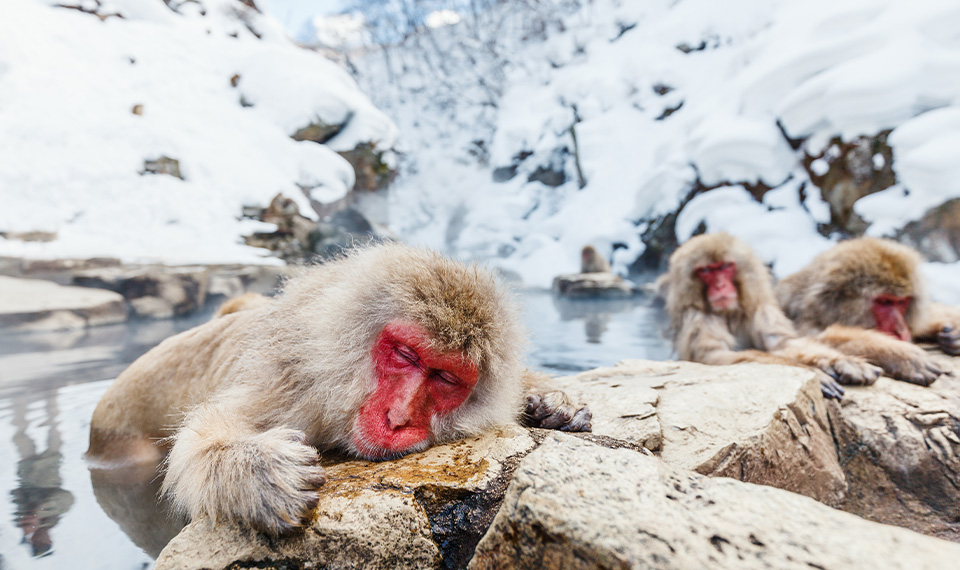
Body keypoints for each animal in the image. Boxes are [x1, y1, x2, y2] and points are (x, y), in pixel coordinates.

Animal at [86, 243, 591, 536]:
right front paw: (256, 470)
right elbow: (204, 435)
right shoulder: (290, 386)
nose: (399, 417)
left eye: (445, 378)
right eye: (405, 355)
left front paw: (553, 401)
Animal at [660, 233, 882, 399]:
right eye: (706, 271)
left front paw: (841, 361)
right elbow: (713, 356)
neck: (729, 313)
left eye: (725, 266)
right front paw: (814, 373)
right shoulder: (698, 318)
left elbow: (782, 343)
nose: (720, 285)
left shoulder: (761, 308)